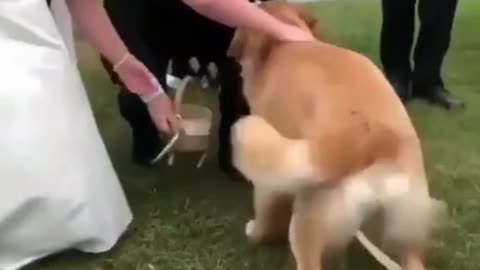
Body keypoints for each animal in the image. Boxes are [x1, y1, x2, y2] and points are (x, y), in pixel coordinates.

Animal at [228, 1, 446, 268]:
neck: (282, 45)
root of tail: (378, 141)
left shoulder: (270, 178)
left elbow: (265, 217)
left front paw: (254, 232)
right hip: (404, 232)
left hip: (307, 224)